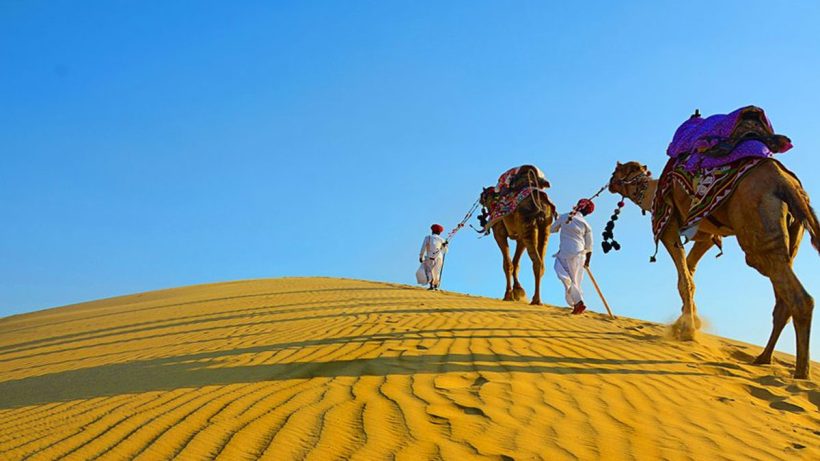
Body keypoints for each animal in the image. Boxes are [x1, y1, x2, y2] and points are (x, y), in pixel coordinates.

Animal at [479, 165, 555, 305]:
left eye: (483, 195)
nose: (481, 198)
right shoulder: (520, 239)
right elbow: (515, 263)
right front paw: (518, 290)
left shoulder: (499, 232)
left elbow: (507, 263)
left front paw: (509, 294)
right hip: (544, 227)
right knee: (541, 262)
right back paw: (537, 299)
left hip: (527, 224)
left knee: (536, 261)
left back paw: (536, 300)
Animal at [609, 159, 819, 379]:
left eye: (616, 172)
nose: (610, 184)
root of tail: (786, 183)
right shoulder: (707, 236)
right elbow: (689, 272)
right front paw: (687, 321)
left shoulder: (669, 227)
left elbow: (684, 278)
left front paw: (688, 330)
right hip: (791, 236)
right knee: (783, 299)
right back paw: (763, 358)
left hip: (757, 233)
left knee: (798, 297)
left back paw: (800, 373)